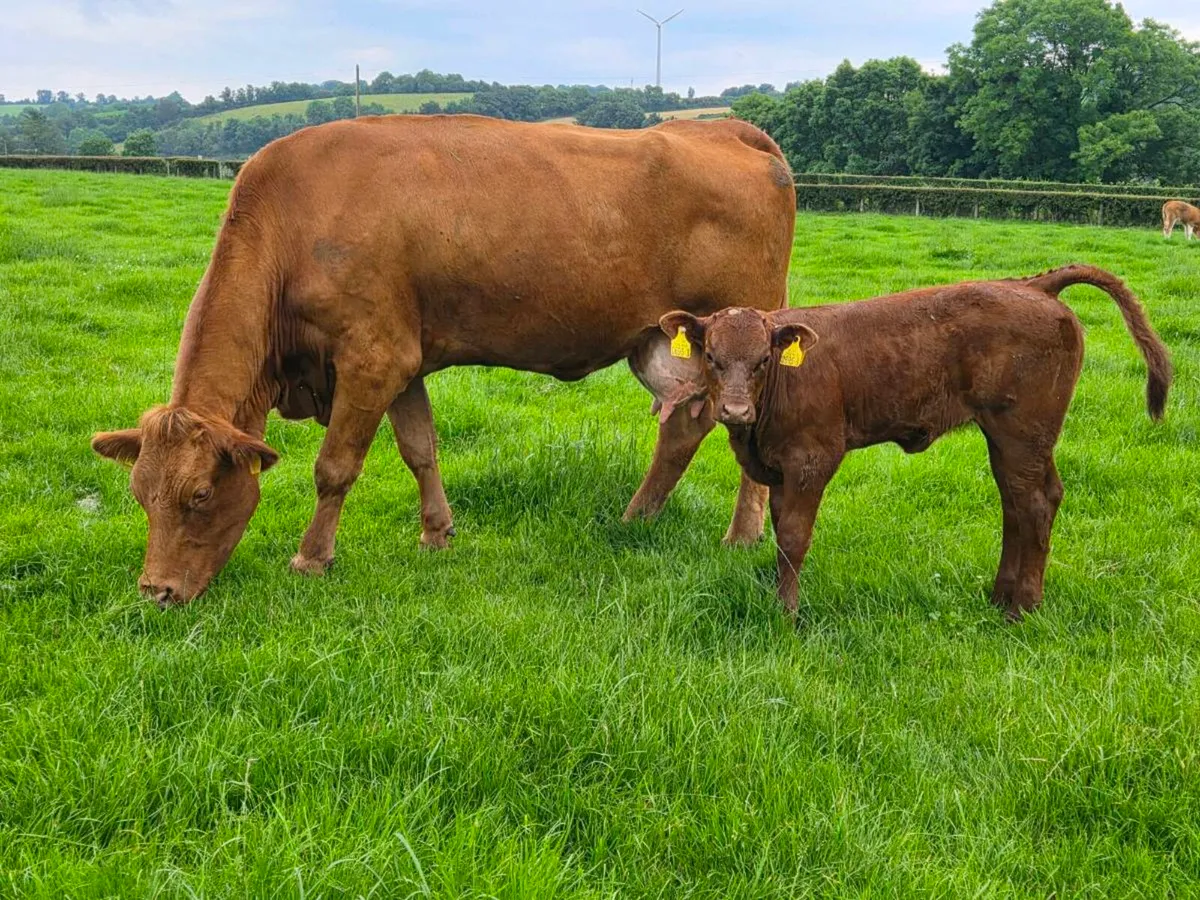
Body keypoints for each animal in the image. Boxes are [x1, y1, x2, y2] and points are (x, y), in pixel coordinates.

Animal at [91, 114, 797, 606]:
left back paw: (740, 534)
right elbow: (419, 448)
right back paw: (639, 517)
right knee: (684, 428)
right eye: (139, 494)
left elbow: (335, 467)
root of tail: (727, 129)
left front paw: (312, 557)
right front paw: (436, 533)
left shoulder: (371, 358)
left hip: (736, 338)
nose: (156, 592)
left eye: (201, 493)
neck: (295, 220)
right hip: (660, 342)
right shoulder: (402, 361)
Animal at [660, 265, 1172, 620]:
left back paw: (1021, 607)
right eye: (711, 356)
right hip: (1011, 437)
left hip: (1023, 431)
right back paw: (999, 595)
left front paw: (787, 611)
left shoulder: (812, 459)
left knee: (1034, 504)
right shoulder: (780, 467)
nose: (735, 411)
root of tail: (1033, 285)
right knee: (1017, 501)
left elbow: (794, 536)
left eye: (764, 360)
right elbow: (782, 529)